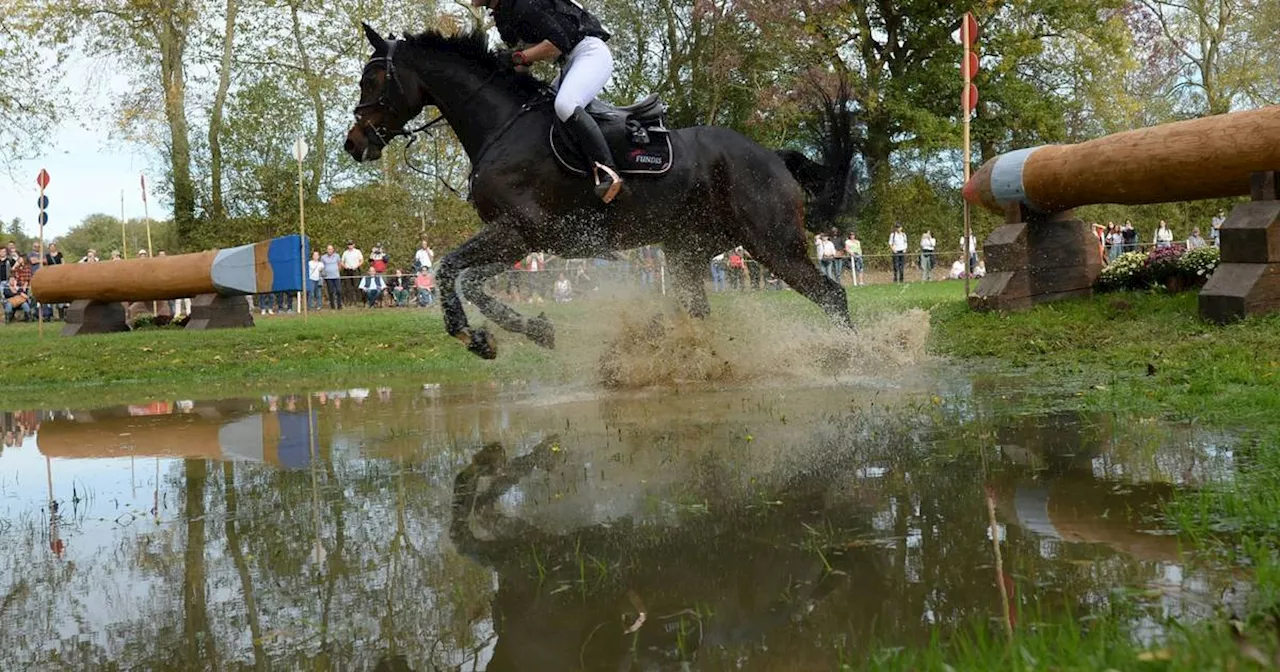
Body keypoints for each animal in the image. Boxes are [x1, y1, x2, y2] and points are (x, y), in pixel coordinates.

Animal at [345, 24, 855, 358]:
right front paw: (521, 330)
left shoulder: (519, 230)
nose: (353, 144)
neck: (501, 126)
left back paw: (853, 357)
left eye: (372, 80)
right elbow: (468, 279)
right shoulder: (522, 240)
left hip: (772, 243)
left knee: (832, 296)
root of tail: (772, 156)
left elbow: (452, 270)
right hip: (687, 250)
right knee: (698, 309)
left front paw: (477, 336)